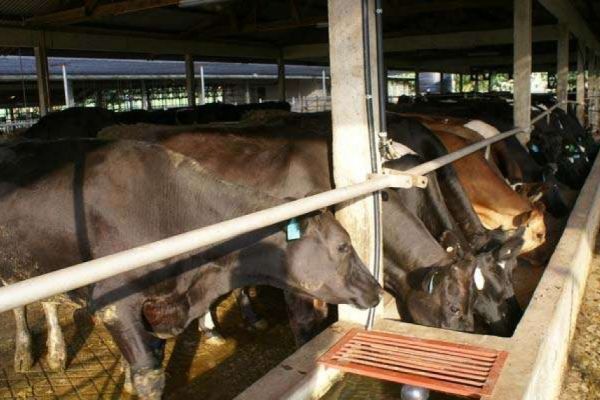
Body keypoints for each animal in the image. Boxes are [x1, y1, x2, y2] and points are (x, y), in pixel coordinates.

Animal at [0, 139, 382, 399]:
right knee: (24, 305)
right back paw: (31, 354)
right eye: (343, 246)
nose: (376, 290)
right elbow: (151, 378)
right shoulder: (113, 304)